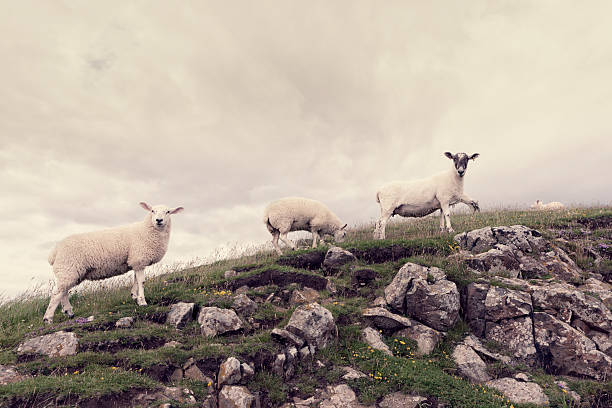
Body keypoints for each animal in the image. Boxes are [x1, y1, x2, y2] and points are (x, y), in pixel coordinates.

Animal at [42, 202, 183, 324]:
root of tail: (54, 251)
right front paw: (142, 301)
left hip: (70, 271)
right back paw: (48, 318)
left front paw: (134, 295)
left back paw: (69, 311)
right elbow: (142, 282)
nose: (159, 220)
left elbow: (136, 280)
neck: (146, 230)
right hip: (68, 268)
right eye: (152, 211)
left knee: (63, 292)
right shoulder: (139, 258)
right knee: (57, 293)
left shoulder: (135, 261)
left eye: (168, 212)